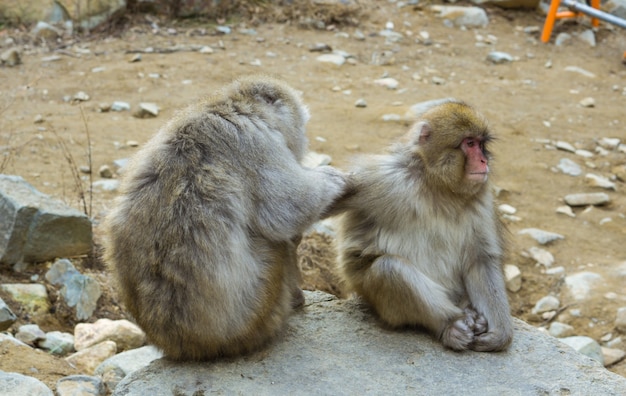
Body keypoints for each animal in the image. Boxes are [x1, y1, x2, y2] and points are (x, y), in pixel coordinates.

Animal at [103, 75, 346, 362]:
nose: (303, 137)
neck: (232, 106)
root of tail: (184, 345)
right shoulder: (256, 142)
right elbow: (285, 211)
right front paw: (331, 178)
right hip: (261, 310)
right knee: (276, 242)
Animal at [332, 100, 512, 352]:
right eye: (469, 143)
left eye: (481, 144)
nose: (484, 161)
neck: (438, 186)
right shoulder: (383, 178)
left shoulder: (482, 200)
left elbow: (481, 260)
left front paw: (500, 334)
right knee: (388, 268)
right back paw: (453, 324)